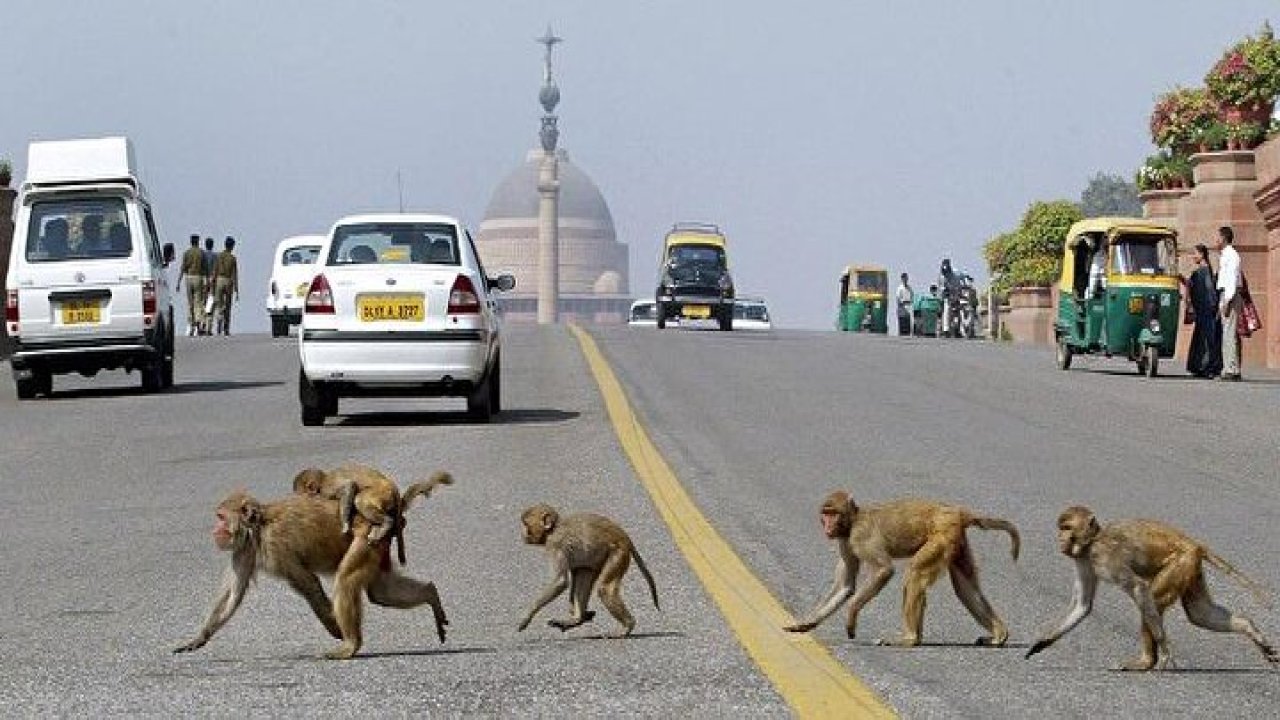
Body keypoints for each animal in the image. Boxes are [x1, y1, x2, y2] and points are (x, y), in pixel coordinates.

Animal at [170, 484, 450, 661]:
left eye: (220, 517)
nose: (214, 530)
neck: (258, 527)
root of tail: (390, 515)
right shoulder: (243, 550)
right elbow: (233, 594)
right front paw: (199, 637)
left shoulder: (276, 546)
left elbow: (308, 583)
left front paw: (335, 627)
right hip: (377, 544)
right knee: (380, 592)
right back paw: (431, 594)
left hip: (366, 538)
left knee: (346, 581)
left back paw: (351, 644)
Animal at [293, 461, 453, 563]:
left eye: (300, 493)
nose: (297, 499)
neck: (323, 480)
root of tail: (393, 487)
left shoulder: (328, 488)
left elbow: (349, 487)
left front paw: (345, 524)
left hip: (381, 493)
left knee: (359, 499)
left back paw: (387, 523)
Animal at [517, 499, 660, 632]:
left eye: (526, 524)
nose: (522, 534)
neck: (552, 530)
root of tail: (624, 537)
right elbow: (575, 572)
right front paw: (575, 614)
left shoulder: (555, 545)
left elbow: (560, 582)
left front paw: (527, 616)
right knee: (585, 572)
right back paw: (578, 619)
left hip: (618, 553)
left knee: (604, 589)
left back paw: (628, 626)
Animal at [778, 486, 1018, 645]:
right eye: (825, 513)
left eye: (833, 513)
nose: (827, 527)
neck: (852, 522)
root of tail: (958, 512)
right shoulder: (845, 543)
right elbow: (846, 586)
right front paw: (806, 623)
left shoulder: (860, 537)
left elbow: (884, 570)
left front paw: (851, 615)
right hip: (956, 541)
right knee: (965, 587)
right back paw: (999, 635)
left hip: (943, 536)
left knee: (914, 574)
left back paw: (909, 638)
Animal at [1029, 504, 1280, 666]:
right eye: (1061, 527)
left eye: (1067, 528)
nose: (1060, 539)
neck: (1091, 542)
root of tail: (1194, 543)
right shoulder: (1083, 561)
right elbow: (1083, 606)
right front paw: (1043, 642)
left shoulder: (1103, 557)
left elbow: (1138, 588)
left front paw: (1167, 651)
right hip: (1191, 568)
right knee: (1200, 614)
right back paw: (1250, 628)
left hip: (1181, 562)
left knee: (1152, 601)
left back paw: (1147, 661)